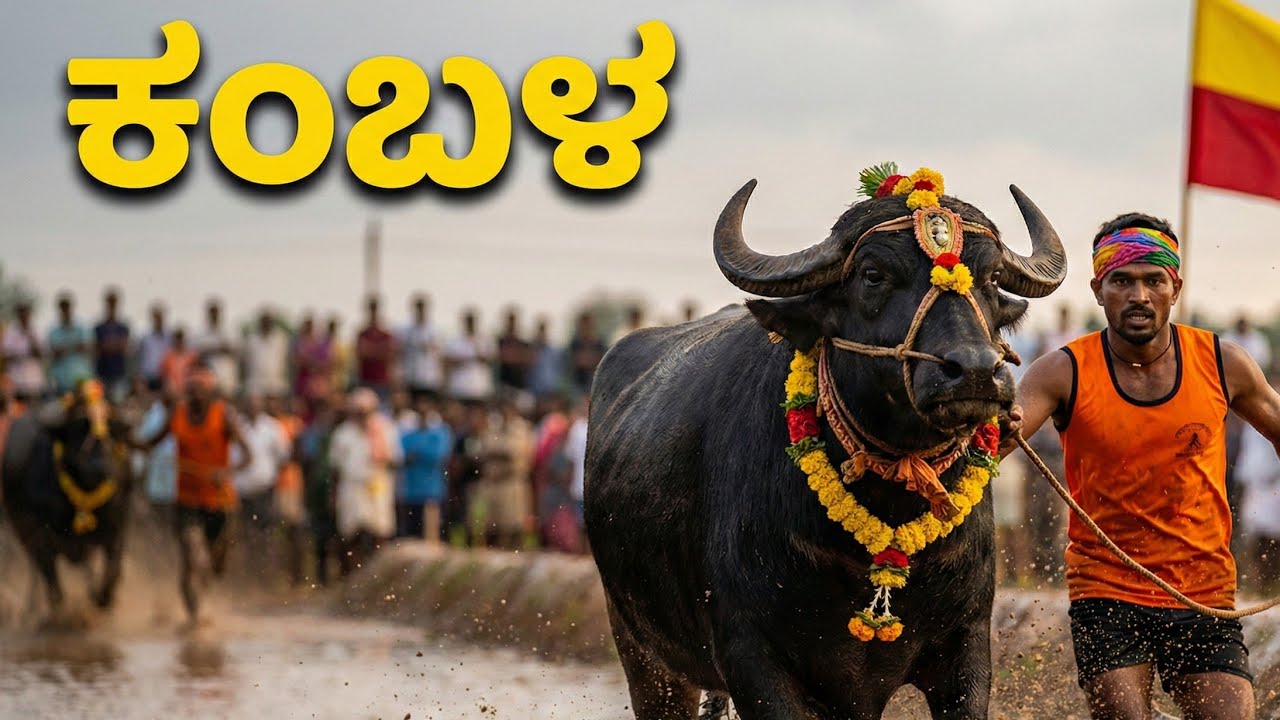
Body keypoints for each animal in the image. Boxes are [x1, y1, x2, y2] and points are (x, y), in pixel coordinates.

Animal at [585, 174, 1066, 719]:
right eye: (873, 275)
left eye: (990, 277)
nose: (976, 371)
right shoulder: (751, 657)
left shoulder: (965, 646)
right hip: (644, 655)